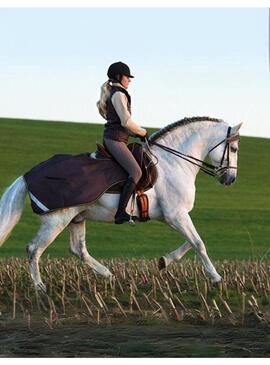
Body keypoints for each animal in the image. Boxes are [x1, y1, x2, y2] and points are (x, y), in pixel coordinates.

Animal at [0, 116, 242, 290]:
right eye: (234, 149)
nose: (230, 179)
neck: (173, 161)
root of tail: (28, 174)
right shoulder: (176, 214)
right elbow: (198, 242)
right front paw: (216, 278)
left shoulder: (173, 216)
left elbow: (191, 242)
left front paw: (164, 261)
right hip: (56, 220)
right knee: (34, 249)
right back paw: (40, 287)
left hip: (76, 218)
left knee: (78, 249)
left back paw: (107, 274)